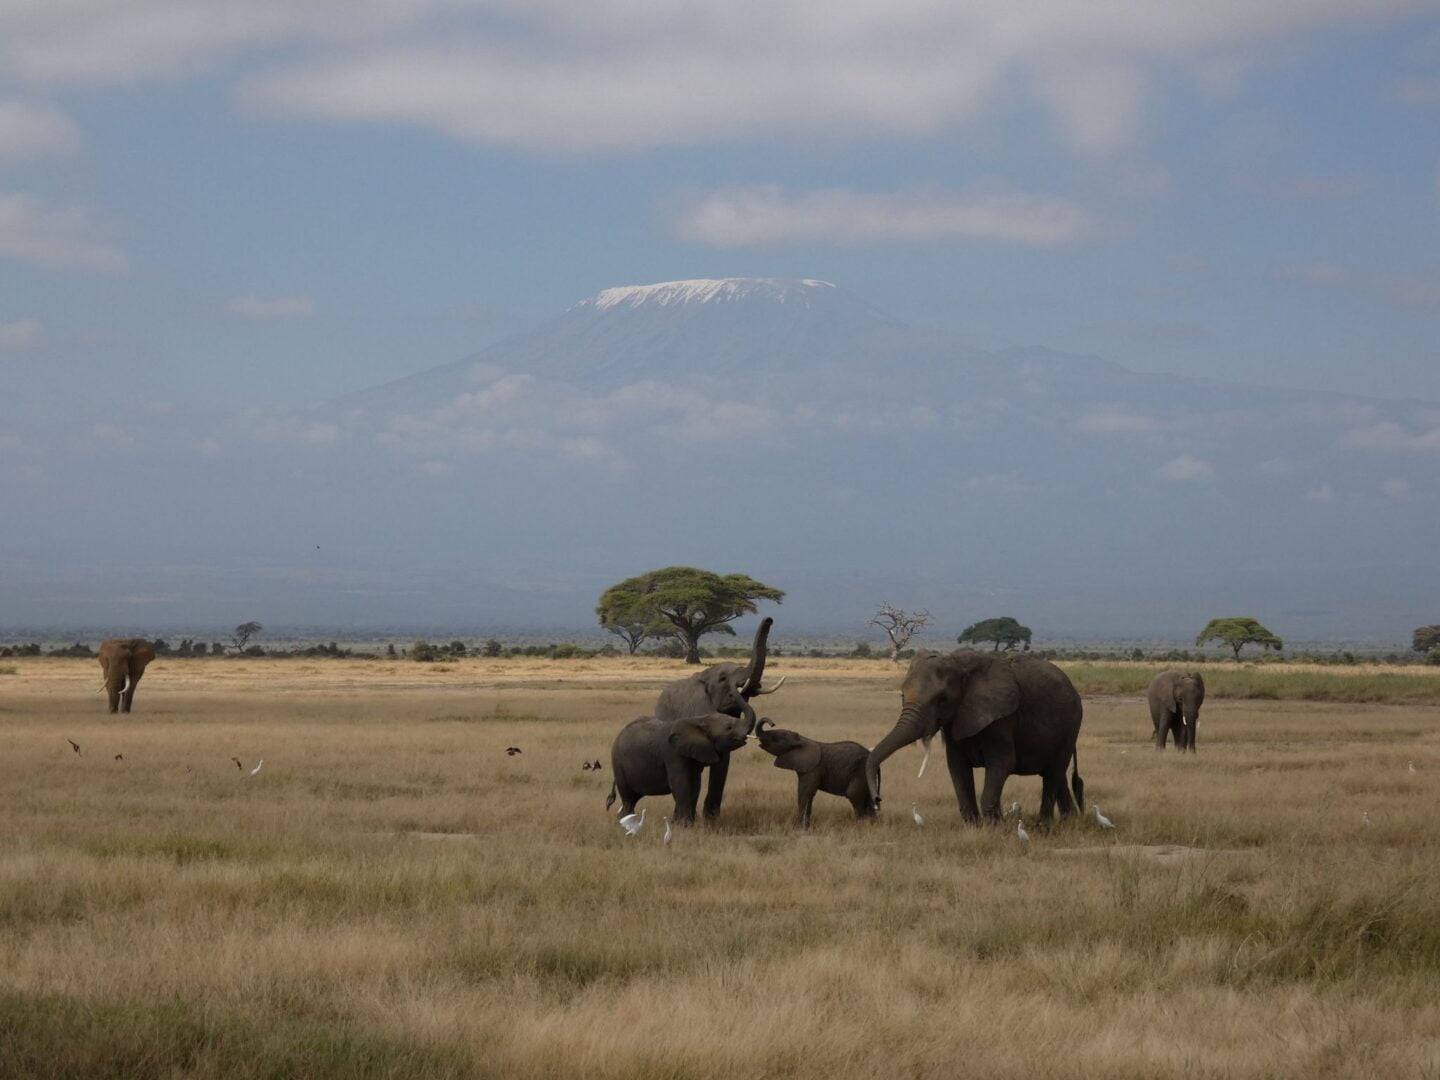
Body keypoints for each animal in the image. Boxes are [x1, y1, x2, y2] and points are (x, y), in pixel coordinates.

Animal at [604, 714, 754, 823]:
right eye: (729, 727)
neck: (700, 720)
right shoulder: (673, 754)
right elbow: (682, 784)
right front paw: (684, 826)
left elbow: (695, 786)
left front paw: (682, 823)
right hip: (618, 764)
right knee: (628, 798)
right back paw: (624, 823)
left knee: (633, 798)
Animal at [858, 656, 1082, 823]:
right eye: (902, 696)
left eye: (942, 700)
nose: (877, 799)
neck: (959, 664)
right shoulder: (955, 721)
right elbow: (957, 767)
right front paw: (975, 827)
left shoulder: (1001, 719)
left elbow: (1002, 763)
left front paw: (995, 828)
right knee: (1056, 774)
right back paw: (1068, 821)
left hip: (1071, 725)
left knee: (1053, 773)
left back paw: (1045, 825)